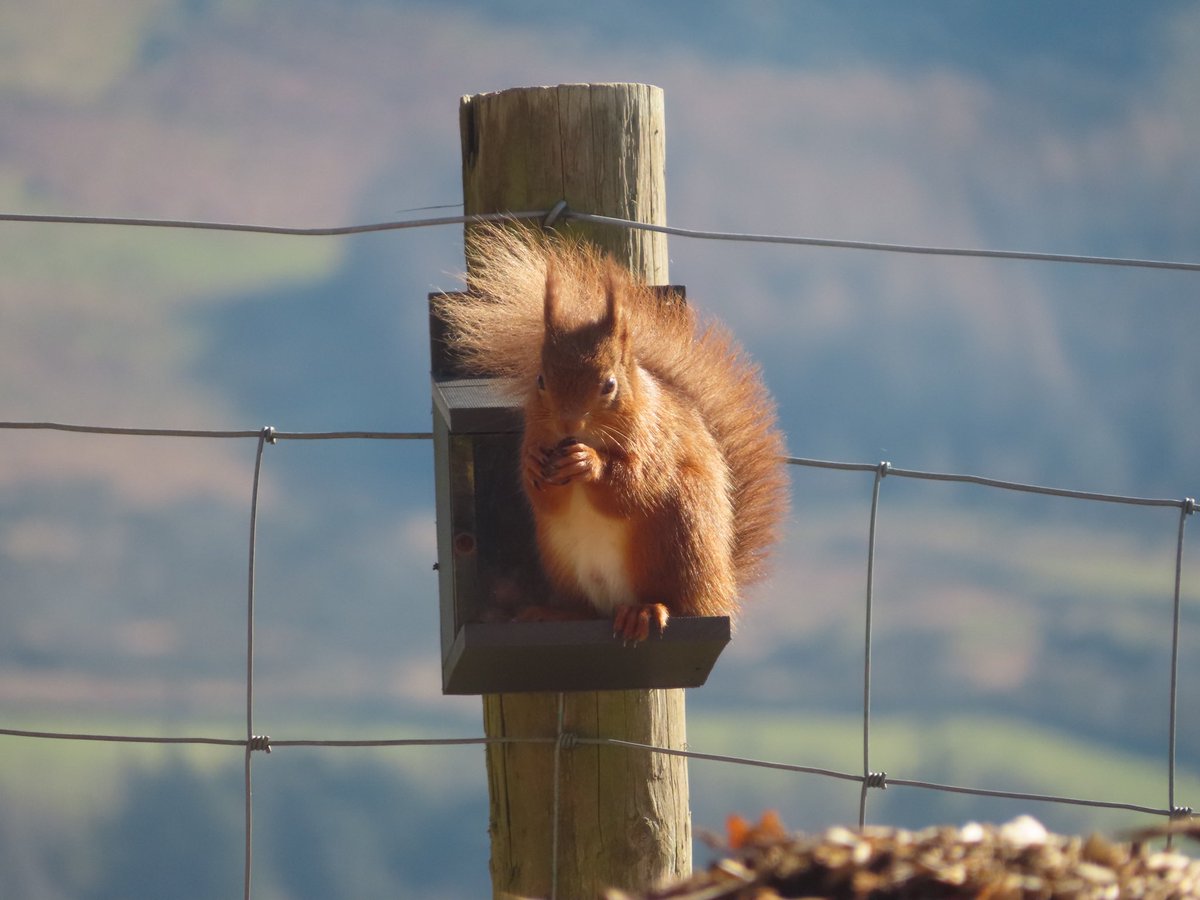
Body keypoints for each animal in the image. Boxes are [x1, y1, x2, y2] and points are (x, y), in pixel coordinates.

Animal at [436, 224, 789, 642]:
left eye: (609, 385)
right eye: (540, 381)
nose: (568, 425)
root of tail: (721, 590)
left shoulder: (654, 444)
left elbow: (633, 485)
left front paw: (588, 462)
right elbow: (543, 497)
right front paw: (534, 464)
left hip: (682, 537)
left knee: (678, 602)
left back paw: (645, 611)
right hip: (566, 564)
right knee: (588, 610)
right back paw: (557, 614)